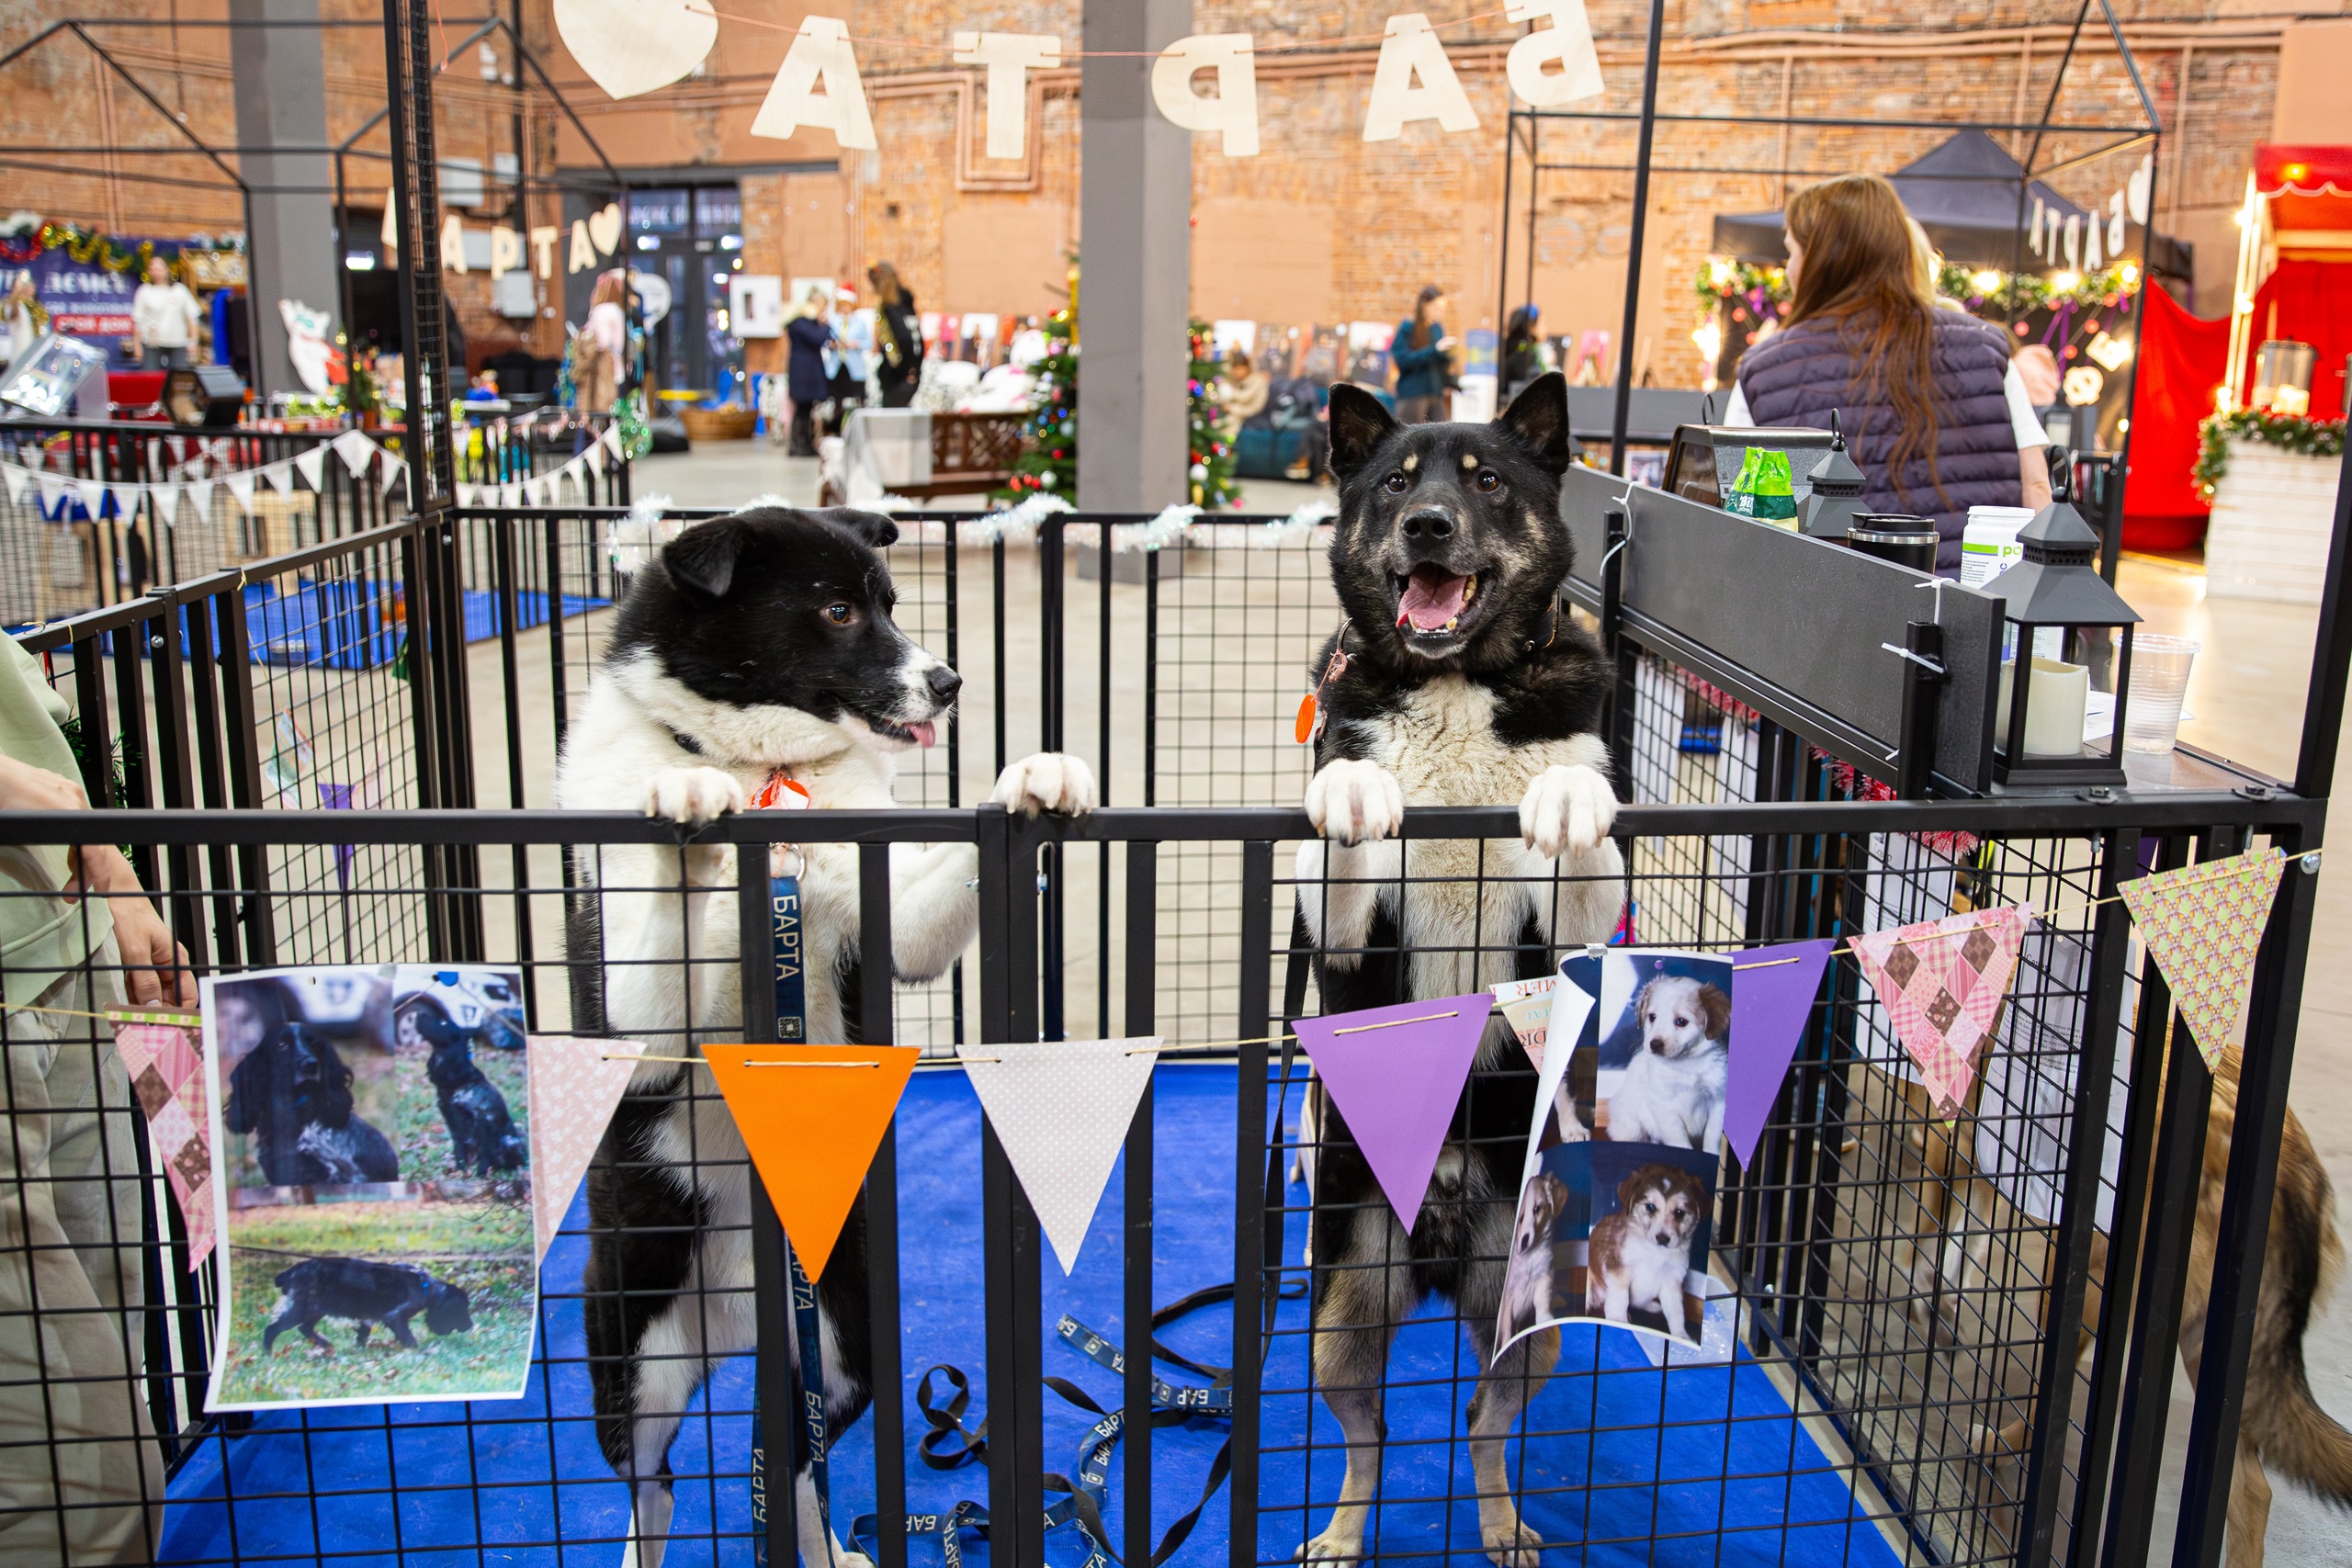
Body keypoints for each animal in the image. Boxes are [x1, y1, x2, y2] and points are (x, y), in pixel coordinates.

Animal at [555, 505, 1095, 1568]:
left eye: (890, 601)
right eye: (838, 611)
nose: (949, 682)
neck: (766, 778)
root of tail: (741, 1317)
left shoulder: (891, 915)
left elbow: (946, 881)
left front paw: (1036, 774)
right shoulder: (632, 1016)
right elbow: (664, 927)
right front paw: (687, 802)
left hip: (848, 1346)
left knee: (791, 1465)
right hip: (629, 1353)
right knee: (652, 1488)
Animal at [1288, 376, 1636, 1568]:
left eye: (1484, 479)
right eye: (1397, 484)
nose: (1429, 527)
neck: (1455, 682)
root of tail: (1442, 1225)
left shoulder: (1576, 935)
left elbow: (1581, 820)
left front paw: (1566, 799)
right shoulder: (1346, 934)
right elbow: (1340, 822)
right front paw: (1354, 790)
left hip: (1526, 1318)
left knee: (1486, 1426)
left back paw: (1499, 1524)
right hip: (1342, 1307)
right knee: (1369, 1443)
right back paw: (1342, 1534)